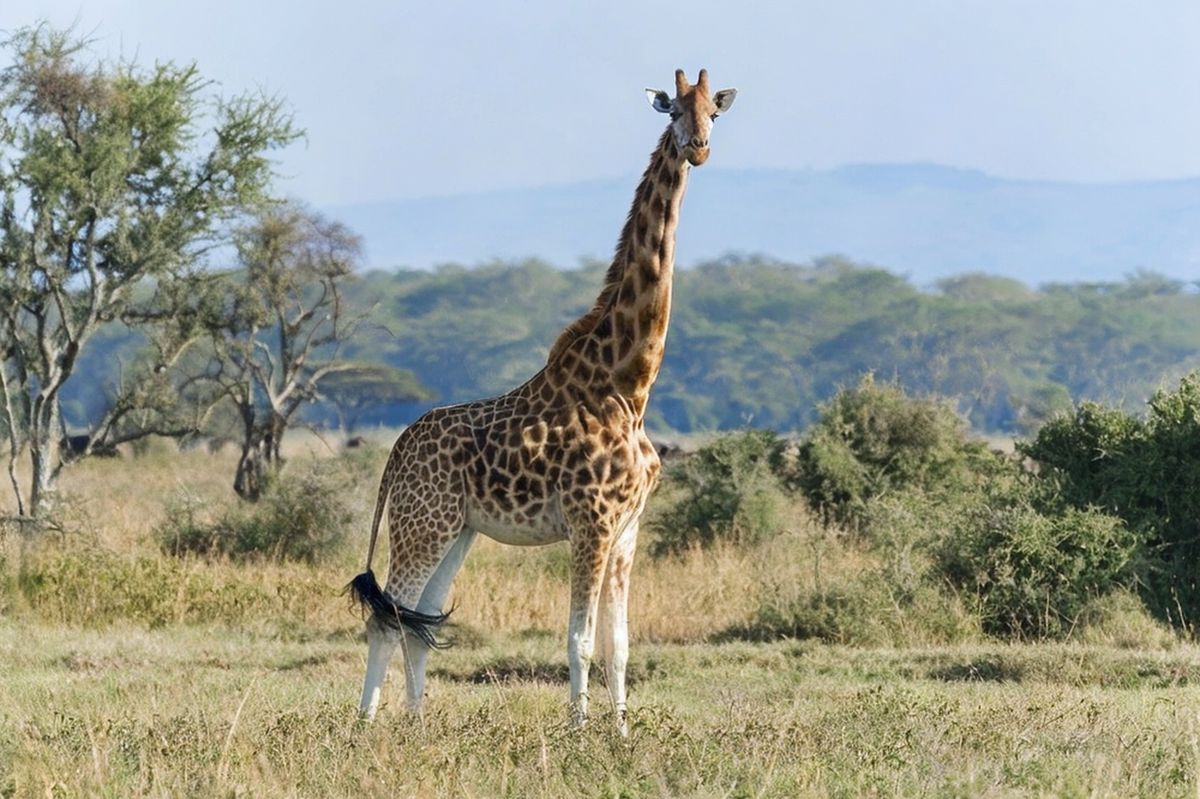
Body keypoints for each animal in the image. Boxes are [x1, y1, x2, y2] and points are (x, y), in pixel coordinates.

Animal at [349, 68, 736, 732]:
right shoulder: (591, 521)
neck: (628, 385)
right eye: (673, 112)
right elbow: (579, 639)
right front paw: (579, 731)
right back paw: (366, 725)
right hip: (423, 523)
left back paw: (418, 723)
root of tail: (396, 451)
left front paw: (620, 732)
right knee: (388, 616)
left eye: (714, 110)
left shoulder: (628, 530)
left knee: (419, 621)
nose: (700, 148)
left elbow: (619, 643)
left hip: (458, 531)